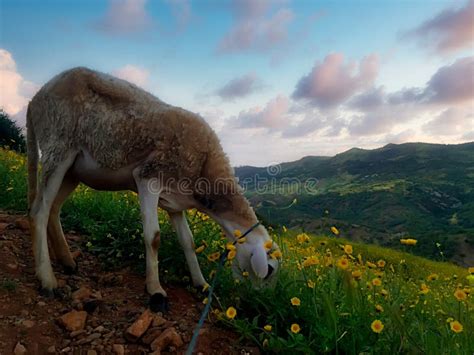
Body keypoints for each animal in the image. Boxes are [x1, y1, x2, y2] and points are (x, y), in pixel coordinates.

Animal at [26, 67, 278, 312]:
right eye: (270, 270)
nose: (255, 303)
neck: (204, 167)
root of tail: (34, 100)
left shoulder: (176, 203)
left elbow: (188, 242)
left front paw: (201, 284)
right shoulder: (148, 178)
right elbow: (154, 237)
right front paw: (156, 291)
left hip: (73, 171)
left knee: (53, 209)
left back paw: (67, 261)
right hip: (58, 146)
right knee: (39, 211)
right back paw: (47, 279)